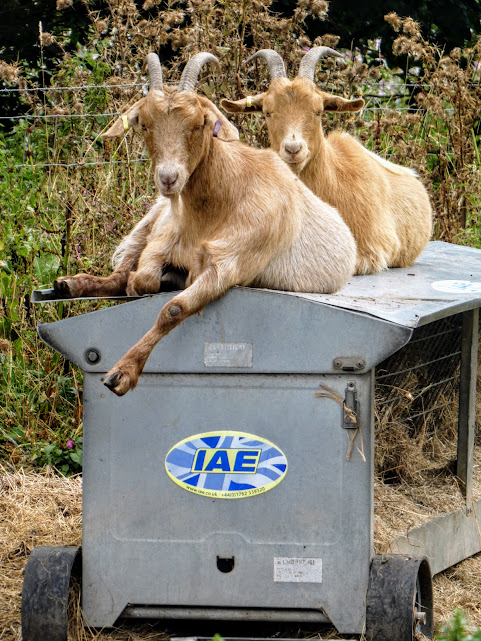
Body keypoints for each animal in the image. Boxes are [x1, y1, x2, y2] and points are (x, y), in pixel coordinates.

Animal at [54, 52, 356, 396]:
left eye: (199, 123)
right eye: (144, 124)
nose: (169, 178)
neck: (215, 208)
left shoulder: (229, 263)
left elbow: (172, 308)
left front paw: (122, 372)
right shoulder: (160, 241)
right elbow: (141, 279)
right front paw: (157, 280)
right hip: (150, 219)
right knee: (118, 274)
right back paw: (70, 284)